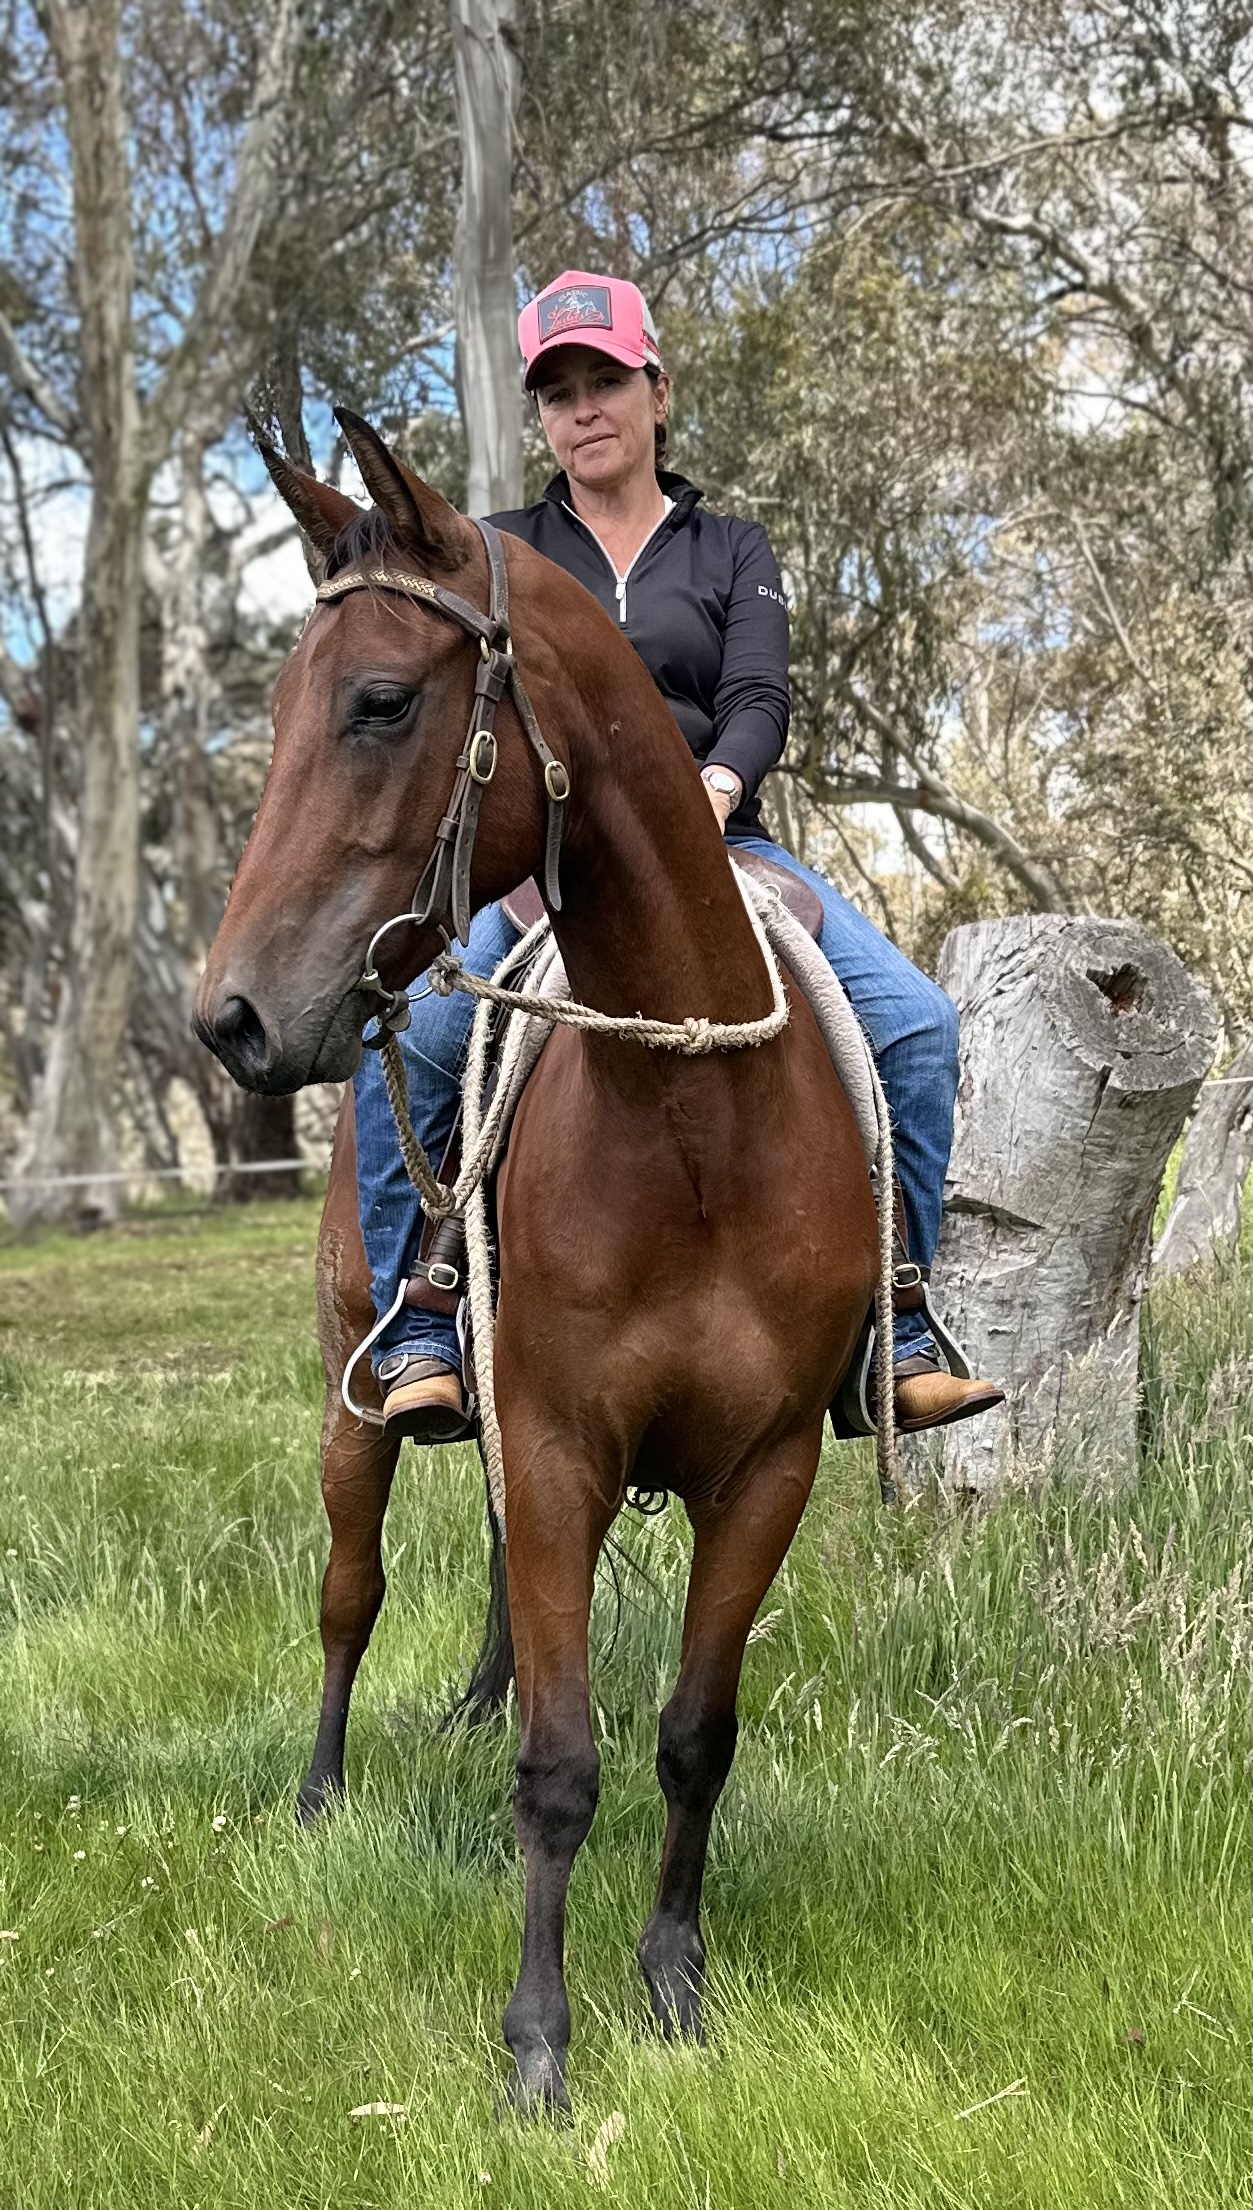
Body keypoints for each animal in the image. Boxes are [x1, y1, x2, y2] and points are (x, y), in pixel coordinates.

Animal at [195, 411, 878, 2114]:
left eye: (380, 699)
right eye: (283, 706)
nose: (228, 1018)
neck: (695, 1118)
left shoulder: (763, 1464)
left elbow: (694, 1734)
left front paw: (675, 1984)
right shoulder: (563, 1441)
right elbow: (559, 1768)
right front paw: (539, 2048)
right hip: (353, 1407)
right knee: (348, 1593)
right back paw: (322, 1788)